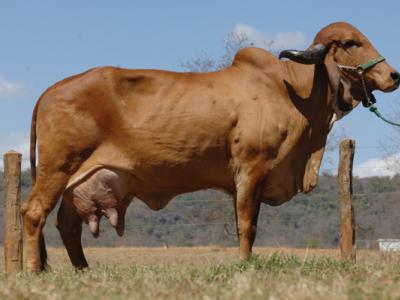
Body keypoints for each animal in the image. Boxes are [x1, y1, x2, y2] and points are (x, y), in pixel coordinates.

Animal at [22, 22, 400, 270]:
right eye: (351, 42)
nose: (393, 75)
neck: (291, 90)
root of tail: (52, 89)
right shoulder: (251, 169)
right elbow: (247, 225)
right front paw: (246, 264)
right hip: (58, 168)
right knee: (34, 213)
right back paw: (34, 271)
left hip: (80, 180)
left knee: (67, 225)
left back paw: (83, 271)